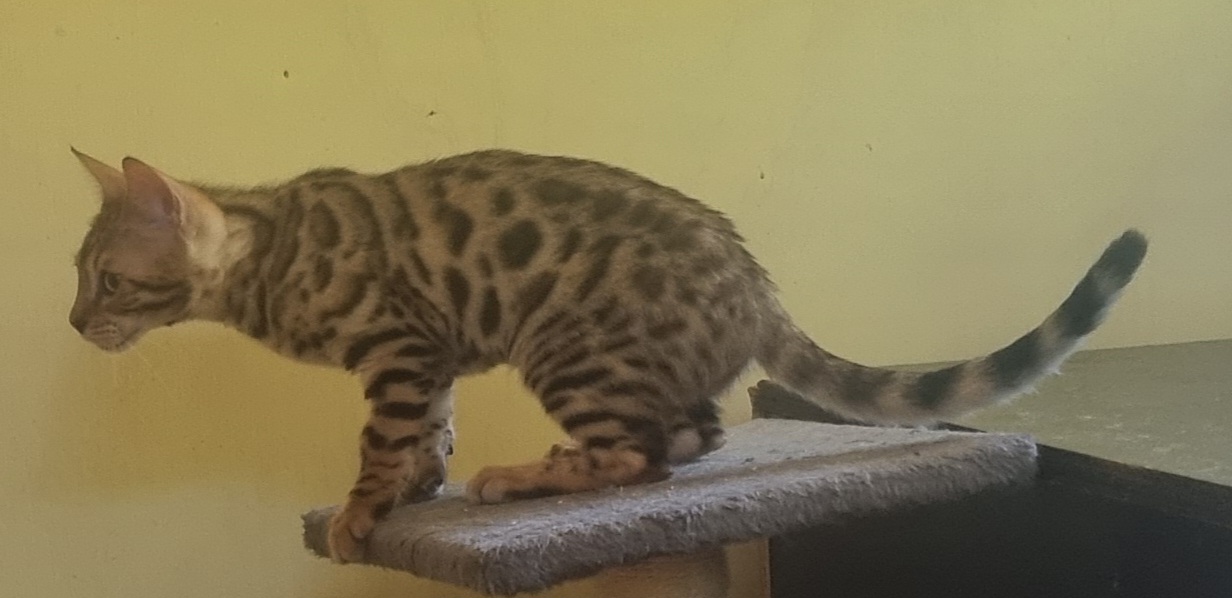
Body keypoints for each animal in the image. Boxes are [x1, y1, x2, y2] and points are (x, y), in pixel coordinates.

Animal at [68, 147, 1147, 562]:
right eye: (78, 276)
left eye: (110, 283)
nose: (76, 324)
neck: (274, 246)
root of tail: (758, 288)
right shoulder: (431, 357)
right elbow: (429, 432)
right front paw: (418, 489)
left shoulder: (399, 347)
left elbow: (383, 442)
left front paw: (363, 512)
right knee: (692, 433)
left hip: (566, 344)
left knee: (647, 450)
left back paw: (523, 476)